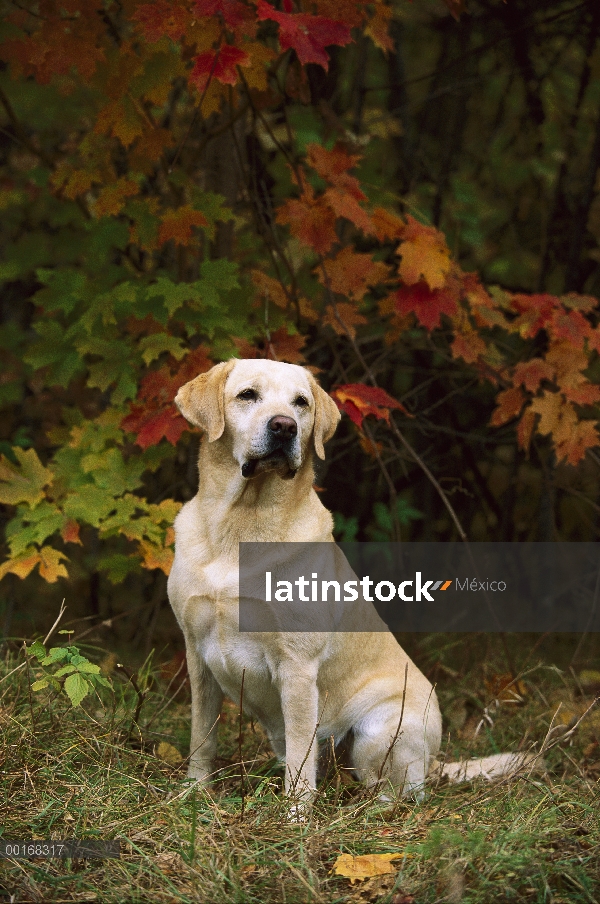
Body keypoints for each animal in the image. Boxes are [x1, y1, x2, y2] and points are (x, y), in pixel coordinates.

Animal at [166, 356, 532, 800]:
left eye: (301, 402)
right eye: (247, 394)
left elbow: (301, 756)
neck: (242, 524)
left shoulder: (297, 666)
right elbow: (202, 736)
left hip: (382, 730)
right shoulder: (196, 654)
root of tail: (434, 761)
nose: (284, 426)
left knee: (398, 791)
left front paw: (295, 812)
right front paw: (193, 792)